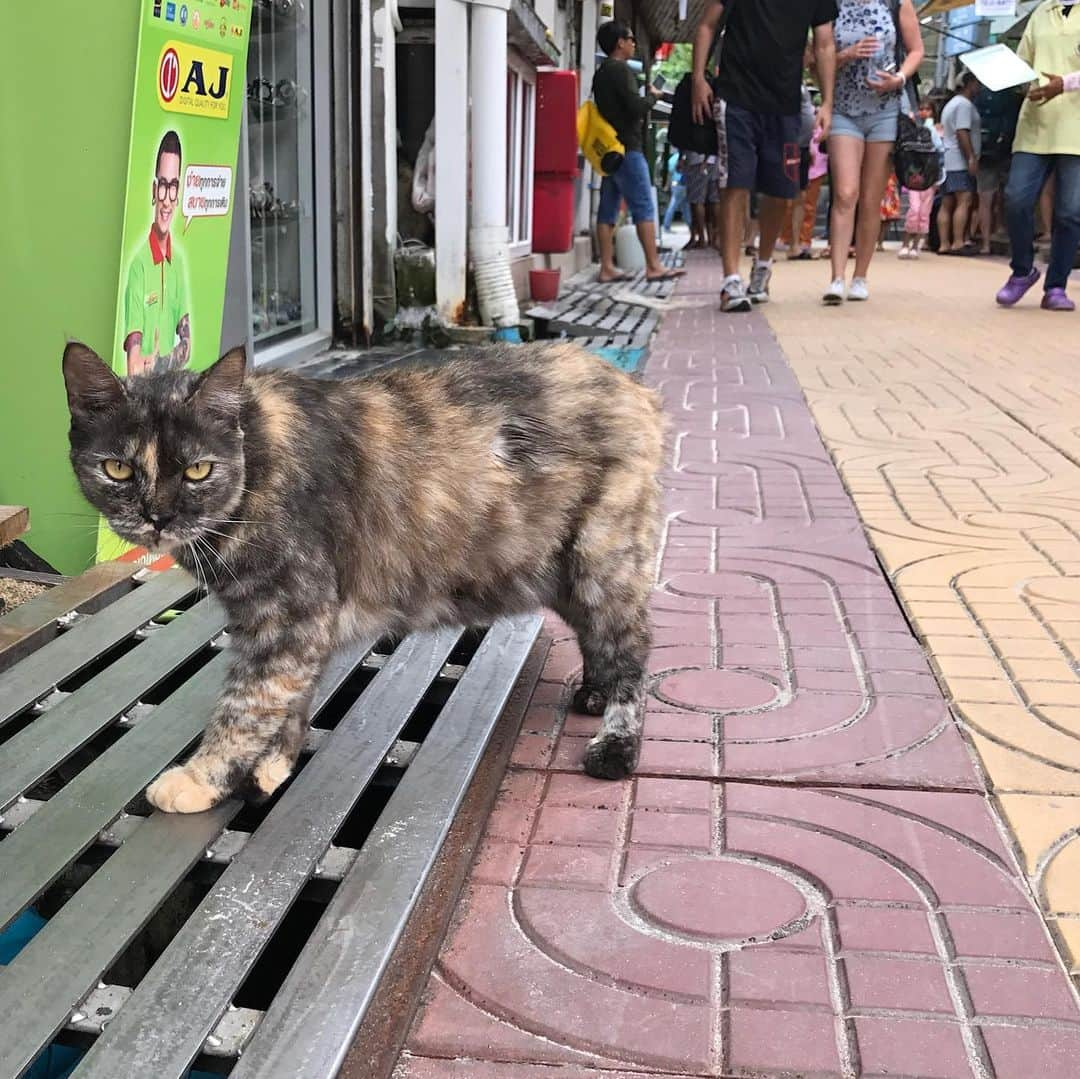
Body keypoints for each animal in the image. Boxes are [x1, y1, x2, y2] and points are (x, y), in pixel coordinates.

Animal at [63, 339, 665, 812]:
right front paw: (273, 765)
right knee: (598, 634)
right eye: (118, 468)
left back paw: (617, 741)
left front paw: (203, 779)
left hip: (600, 557)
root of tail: (632, 386)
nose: (158, 517)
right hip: (556, 569)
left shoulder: (288, 615)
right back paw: (595, 690)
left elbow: (247, 702)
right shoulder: (296, 624)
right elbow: (289, 695)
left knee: (634, 645)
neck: (255, 458)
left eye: (197, 470)